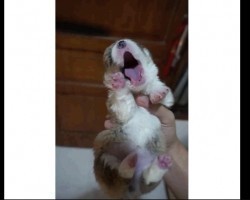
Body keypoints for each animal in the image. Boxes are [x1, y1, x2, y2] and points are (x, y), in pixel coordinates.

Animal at [93, 39, 173, 198]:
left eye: (136, 43)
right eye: (109, 58)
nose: (121, 43)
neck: (137, 91)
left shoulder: (167, 105)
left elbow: (162, 92)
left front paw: (158, 92)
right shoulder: (120, 111)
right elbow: (123, 100)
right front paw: (119, 83)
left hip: (152, 161)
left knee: (148, 178)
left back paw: (160, 164)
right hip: (105, 157)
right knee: (120, 172)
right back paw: (130, 162)